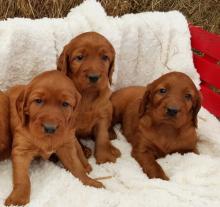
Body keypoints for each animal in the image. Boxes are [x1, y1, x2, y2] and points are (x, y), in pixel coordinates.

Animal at [4, 70, 103, 206]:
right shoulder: (21, 151)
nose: (49, 128)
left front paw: (89, 182)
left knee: (78, 148)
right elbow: (22, 177)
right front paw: (18, 198)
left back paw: (86, 164)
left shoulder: (66, 145)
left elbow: (77, 167)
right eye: (38, 101)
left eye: (65, 104)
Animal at [56, 32, 120, 163]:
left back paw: (111, 135)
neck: (87, 94)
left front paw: (105, 157)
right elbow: (75, 140)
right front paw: (83, 150)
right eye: (79, 57)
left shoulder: (102, 114)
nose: (94, 77)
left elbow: (102, 136)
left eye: (104, 57)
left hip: (110, 106)